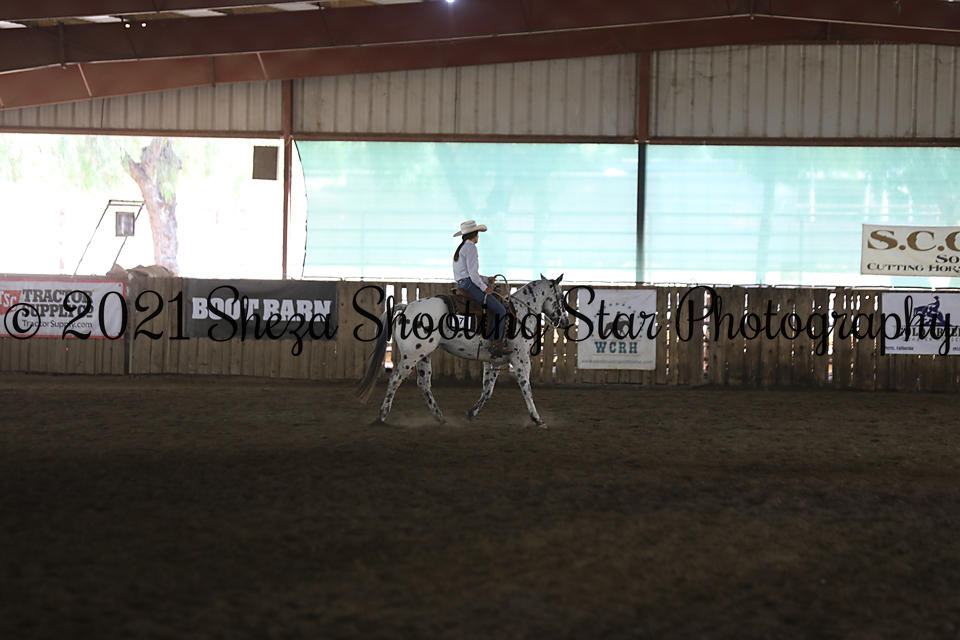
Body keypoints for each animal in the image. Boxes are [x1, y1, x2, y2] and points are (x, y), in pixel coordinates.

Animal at [355, 275, 570, 428]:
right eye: (560, 297)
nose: (566, 322)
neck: (520, 312)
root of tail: (407, 307)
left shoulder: (493, 361)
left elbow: (487, 391)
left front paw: (470, 415)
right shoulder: (521, 358)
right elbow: (527, 389)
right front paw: (537, 419)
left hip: (424, 355)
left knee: (424, 384)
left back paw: (441, 418)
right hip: (412, 356)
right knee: (395, 379)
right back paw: (382, 415)